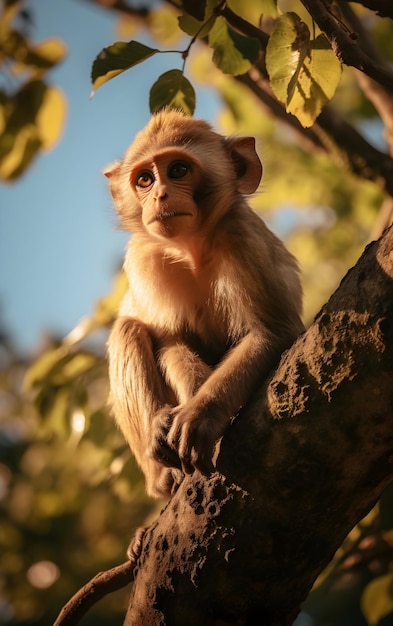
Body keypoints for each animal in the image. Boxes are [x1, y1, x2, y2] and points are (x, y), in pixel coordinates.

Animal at [104, 108, 304, 498]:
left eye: (178, 170)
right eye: (145, 179)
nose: (160, 194)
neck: (192, 249)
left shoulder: (241, 234)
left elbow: (273, 332)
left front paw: (201, 413)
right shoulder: (144, 258)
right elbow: (169, 339)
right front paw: (183, 408)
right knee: (128, 329)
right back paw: (161, 470)